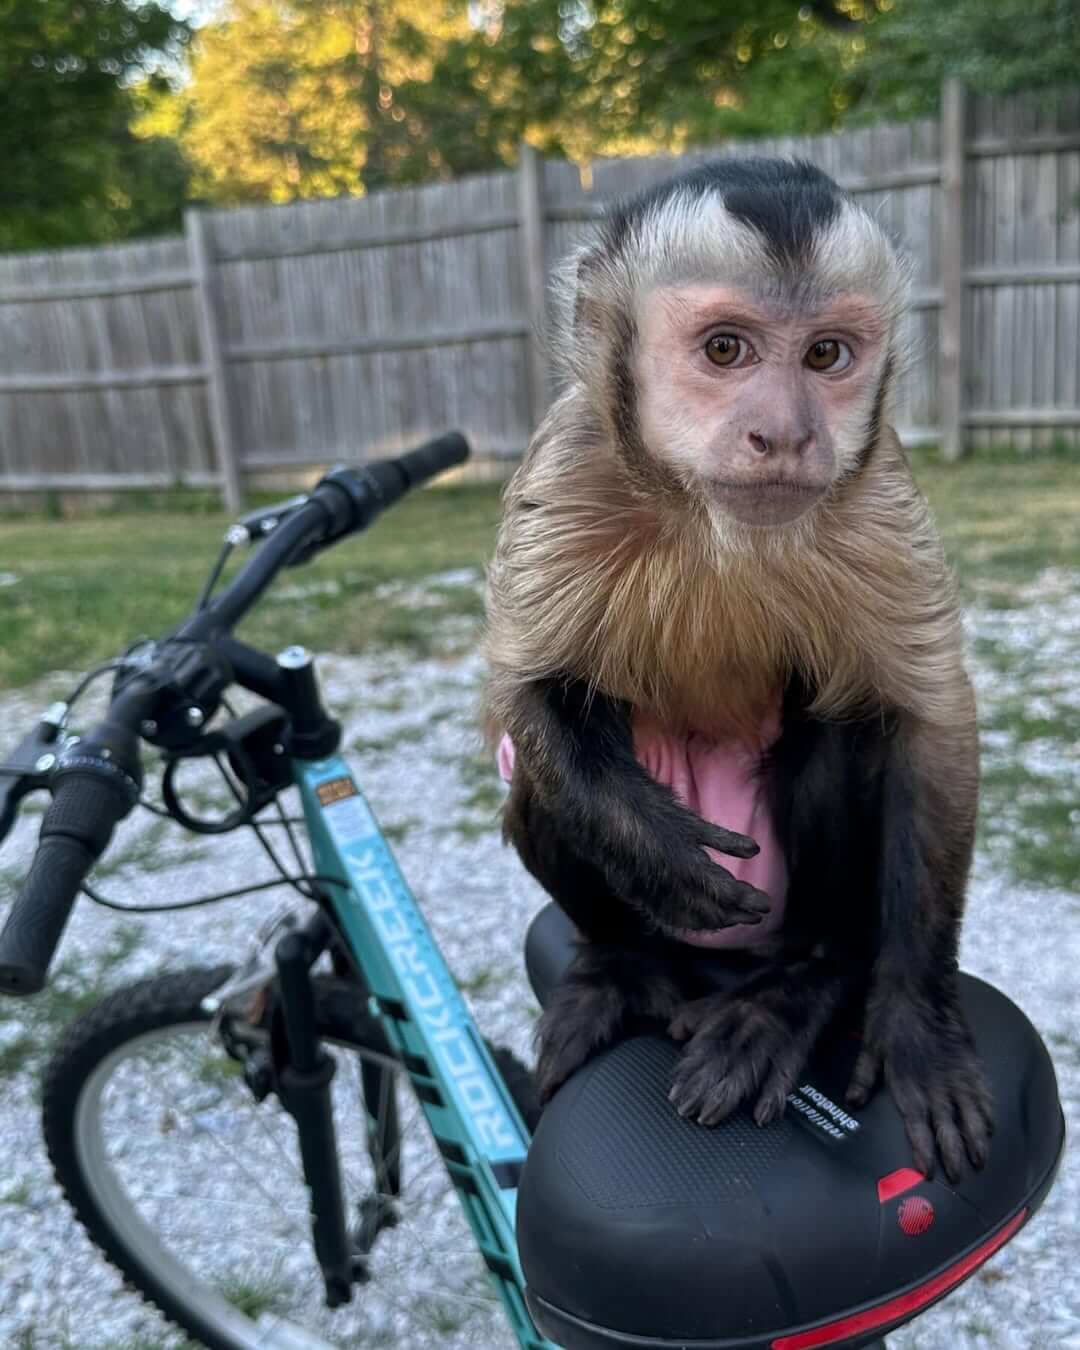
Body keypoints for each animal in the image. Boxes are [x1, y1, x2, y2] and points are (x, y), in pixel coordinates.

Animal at [482, 157, 992, 1183]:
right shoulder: (566, 465)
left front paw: (917, 1022)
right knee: (538, 781)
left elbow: (932, 726)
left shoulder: (881, 498)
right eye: (726, 350)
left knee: (843, 731)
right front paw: (646, 844)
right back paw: (623, 967)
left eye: (828, 356)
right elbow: (525, 684)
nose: (785, 434)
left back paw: (801, 986)